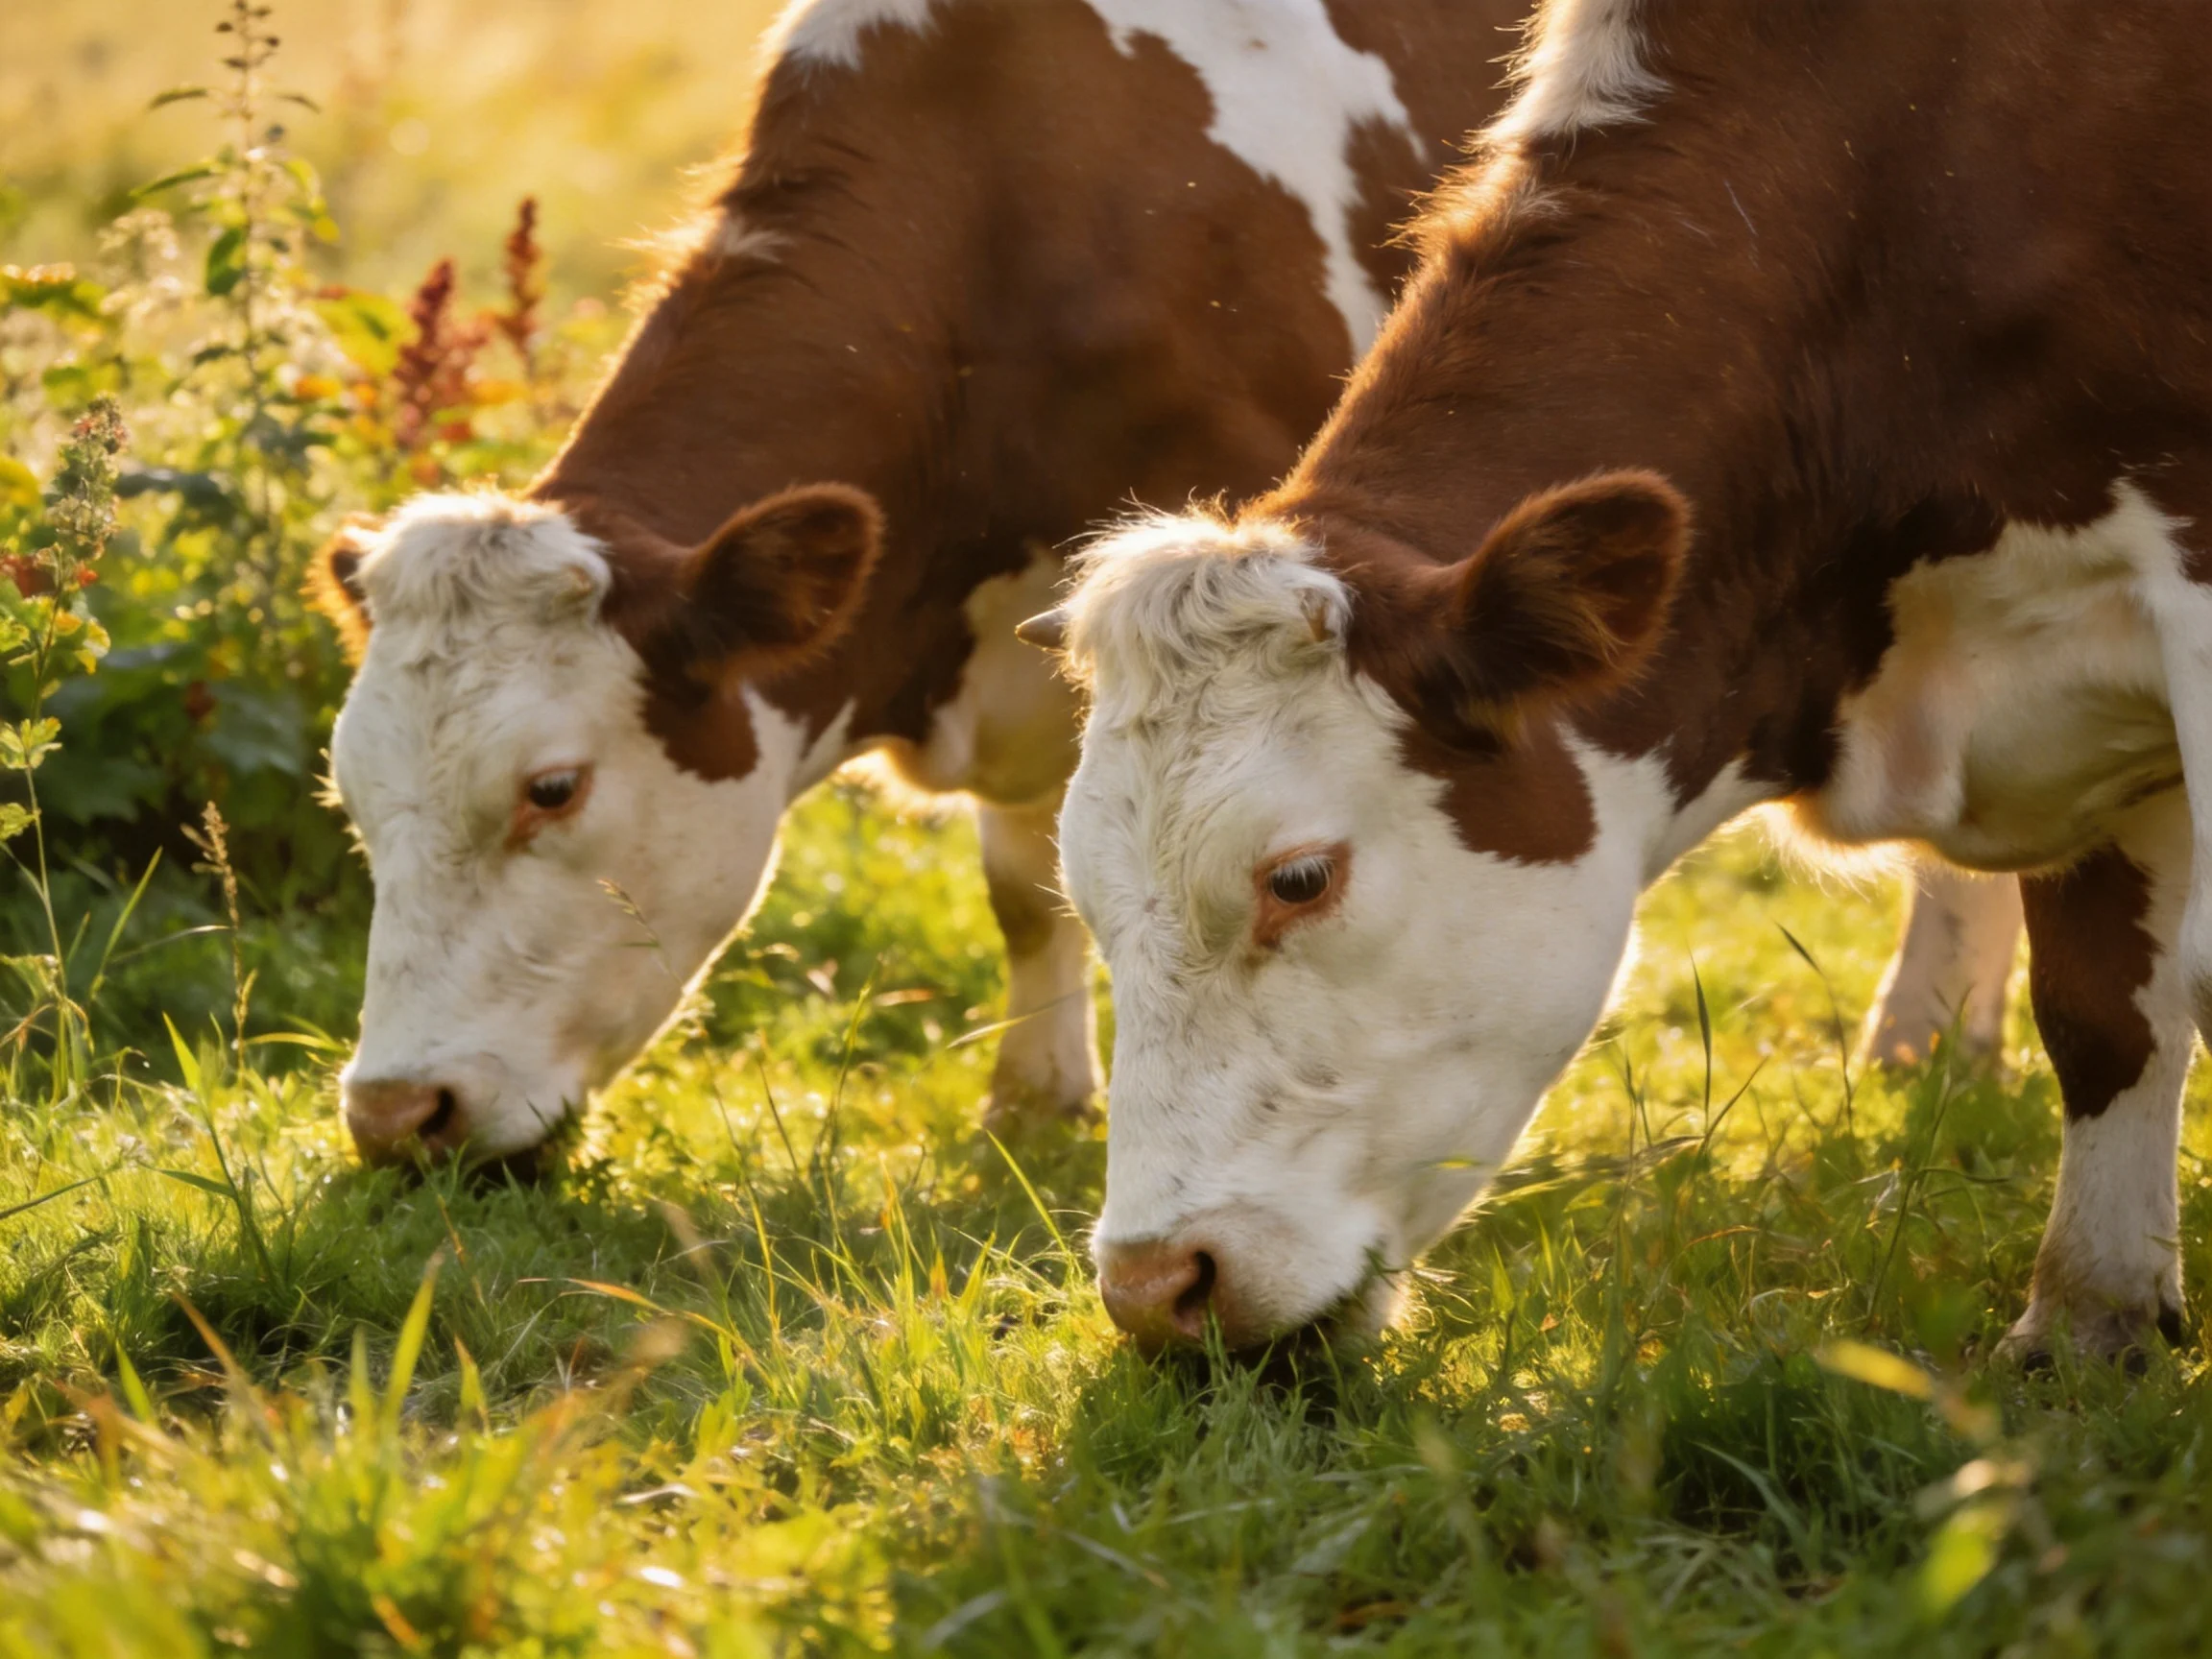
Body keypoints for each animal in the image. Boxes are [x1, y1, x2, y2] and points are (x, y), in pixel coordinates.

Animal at [315, 0, 2013, 1170]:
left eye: (550, 789)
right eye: (360, 804)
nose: (401, 1112)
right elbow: (1026, 885)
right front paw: (1036, 1097)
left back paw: (1931, 1036)